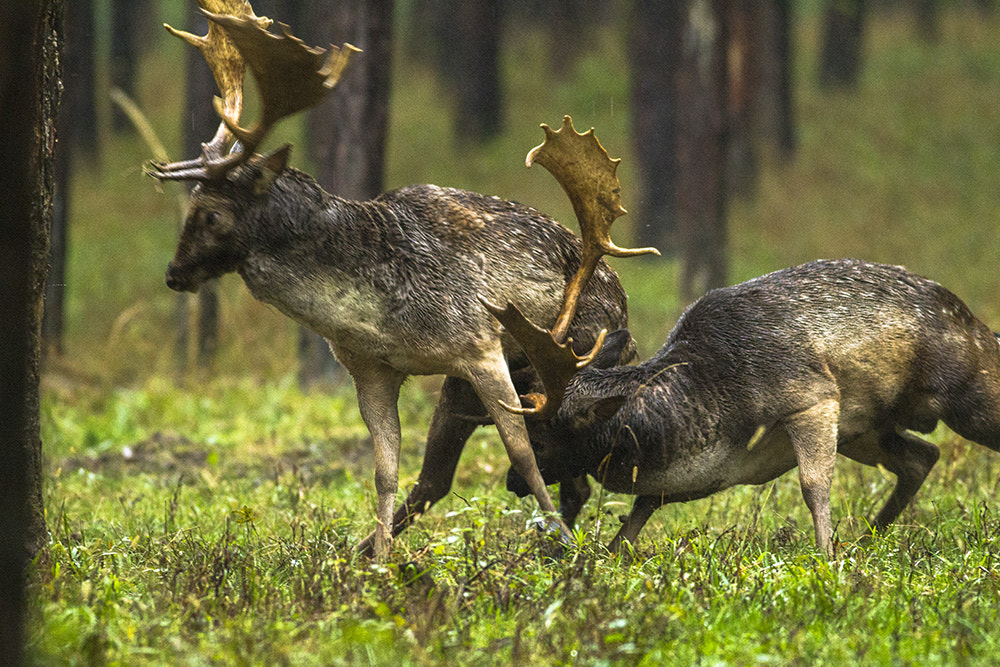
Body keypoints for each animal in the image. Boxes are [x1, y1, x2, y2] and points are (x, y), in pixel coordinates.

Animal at [145, 1, 655, 558]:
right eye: (191, 202)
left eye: (212, 213)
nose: (173, 274)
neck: (376, 313)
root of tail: (622, 296)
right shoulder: (371, 369)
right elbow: (386, 471)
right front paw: (381, 561)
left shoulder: (480, 345)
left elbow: (521, 453)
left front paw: (561, 542)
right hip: (469, 387)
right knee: (439, 479)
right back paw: (367, 548)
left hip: (562, 359)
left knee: (566, 468)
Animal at [493, 258, 1000, 557]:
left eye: (540, 437)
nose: (512, 481)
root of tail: (976, 321)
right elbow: (641, 508)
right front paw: (607, 555)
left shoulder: (813, 396)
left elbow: (814, 486)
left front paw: (826, 557)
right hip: (867, 430)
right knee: (923, 456)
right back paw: (869, 535)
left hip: (966, 396)